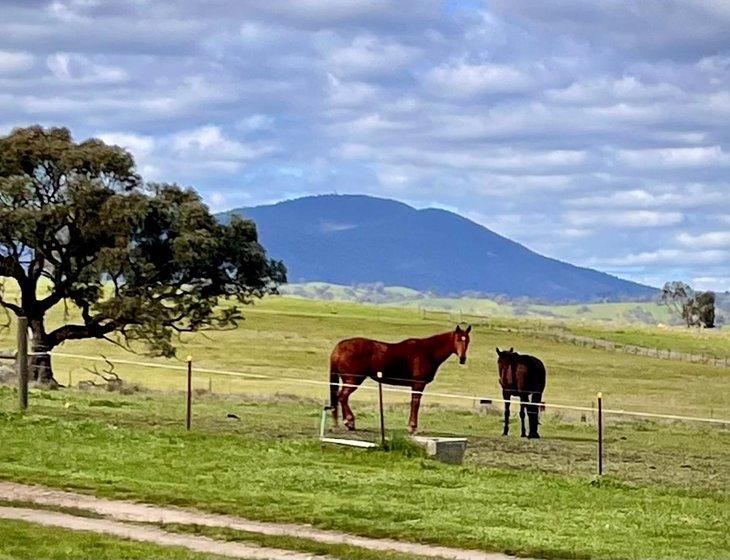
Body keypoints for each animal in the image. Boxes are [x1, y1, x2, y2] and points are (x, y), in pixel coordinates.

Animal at [328, 324, 470, 434]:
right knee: (342, 397)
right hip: (353, 380)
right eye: (458, 339)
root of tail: (339, 348)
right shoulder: (418, 384)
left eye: (467, 340)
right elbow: (415, 403)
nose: (463, 359)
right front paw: (412, 428)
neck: (427, 351)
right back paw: (349, 422)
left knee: (341, 397)